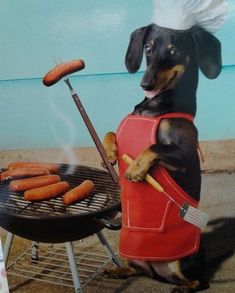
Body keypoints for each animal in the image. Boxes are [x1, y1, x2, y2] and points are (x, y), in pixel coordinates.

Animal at [103, 24, 222, 290]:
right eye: (148, 48)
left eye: (174, 51)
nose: (145, 84)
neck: (154, 109)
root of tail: (158, 272)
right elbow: (110, 132)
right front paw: (110, 152)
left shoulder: (183, 156)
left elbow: (154, 147)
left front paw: (135, 170)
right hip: (130, 254)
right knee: (135, 270)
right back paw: (117, 270)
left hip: (183, 261)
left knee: (202, 281)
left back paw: (183, 287)